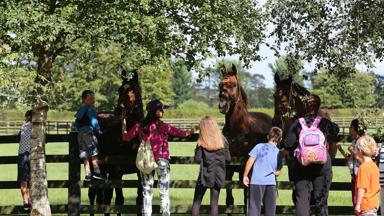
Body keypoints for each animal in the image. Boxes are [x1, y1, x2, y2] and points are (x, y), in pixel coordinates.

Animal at [216, 63, 272, 208]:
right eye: (220, 84)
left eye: (234, 84)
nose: (222, 106)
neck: (238, 131)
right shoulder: (229, 168)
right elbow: (229, 197)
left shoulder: (245, 168)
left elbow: (247, 196)